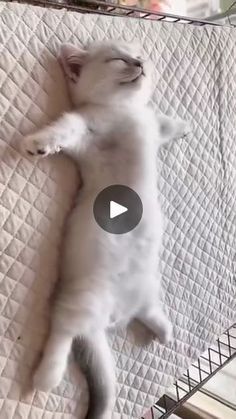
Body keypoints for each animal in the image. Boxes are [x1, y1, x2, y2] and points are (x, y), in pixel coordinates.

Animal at [21, 40, 188, 419]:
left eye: (140, 56)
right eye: (118, 59)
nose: (140, 63)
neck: (125, 111)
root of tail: (112, 317)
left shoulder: (146, 123)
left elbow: (162, 123)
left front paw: (182, 125)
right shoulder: (87, 128)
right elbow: (64, 128)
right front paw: (37, 143)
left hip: (147, 292)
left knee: (148, 313)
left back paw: (166, 332)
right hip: (84, 300)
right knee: (62, 331)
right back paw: (46, 377)